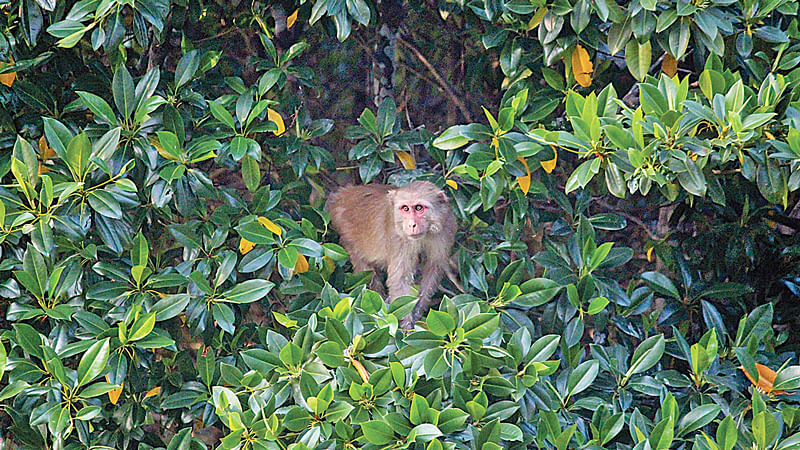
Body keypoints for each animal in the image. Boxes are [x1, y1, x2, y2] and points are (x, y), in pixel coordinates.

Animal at [328, 179, 456, 330]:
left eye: (419, 208)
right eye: (405, 209)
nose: (411, 225)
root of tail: (343, 195)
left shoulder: (446, 230)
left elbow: (433, 269)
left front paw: (417, 311)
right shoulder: (398, 238)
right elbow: (399, 279)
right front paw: (407, 326)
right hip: (346, 229)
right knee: (365, 269)